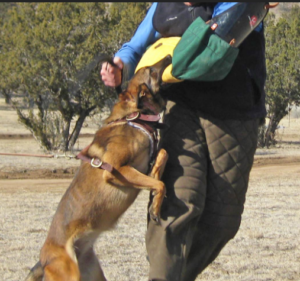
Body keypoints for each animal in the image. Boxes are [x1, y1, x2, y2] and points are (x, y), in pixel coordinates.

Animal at [25, 55, 171, 280]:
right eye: (151, 70)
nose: (169, 56)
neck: (132, 118)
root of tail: (43, 261)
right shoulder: (117, 170)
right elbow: (161, 184)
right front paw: (155, 206)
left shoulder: (142, 166)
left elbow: (163, 155)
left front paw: (156, 180)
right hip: (70, 274)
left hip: (93, 273)